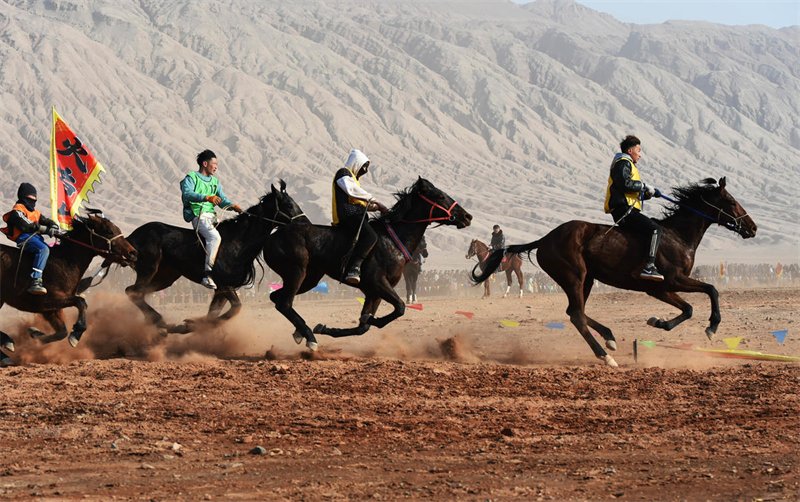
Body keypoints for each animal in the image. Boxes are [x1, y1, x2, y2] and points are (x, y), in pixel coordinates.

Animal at [0, 214, 137, 358]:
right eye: (109, 231)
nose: (133, 253)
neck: (65, 261)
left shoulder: (51, 309)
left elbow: (62, 332)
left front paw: (35, 333)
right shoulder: (49, 300)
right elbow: (81, 302)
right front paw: (76, 334)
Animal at [86, 181, 306, 338]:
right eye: (288, 204)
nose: (304, 222)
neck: (239, 240)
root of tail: (130, 238)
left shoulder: (220, 290)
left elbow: (214, 314)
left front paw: (188, 326)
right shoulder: (224, 284)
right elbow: (236, 308)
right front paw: (187, 324)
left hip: (165, 277)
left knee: (137, 293)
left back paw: (162, 326)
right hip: (149, 268)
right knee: (132, 292)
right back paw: (161, 323)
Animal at [262, 178, 476, 352]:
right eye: (440, 196)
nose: (467, 217)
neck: (393, 241)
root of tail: (271, 236)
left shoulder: (374, 292)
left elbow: (362, 327)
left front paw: (327, 328)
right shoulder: (378, 283)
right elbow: (399, 308)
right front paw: (369, 318)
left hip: (310, 279)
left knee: (276, 297)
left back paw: (301, 332)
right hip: (296, 273)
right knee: (284, 302)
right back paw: (309, 337)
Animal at [472, 178, 760, 366]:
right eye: (731, 201)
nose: (753, 228)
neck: (679, 235)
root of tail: (544, 239)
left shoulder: (659, 288)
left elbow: (688, 309)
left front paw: (658, 322)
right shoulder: (673, 280)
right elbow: (711, 290)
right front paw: (712, 326)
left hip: (587, 279)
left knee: (575, 312)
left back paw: (610, 338)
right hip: (574, 277)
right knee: (577, 315)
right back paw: (605, 355)